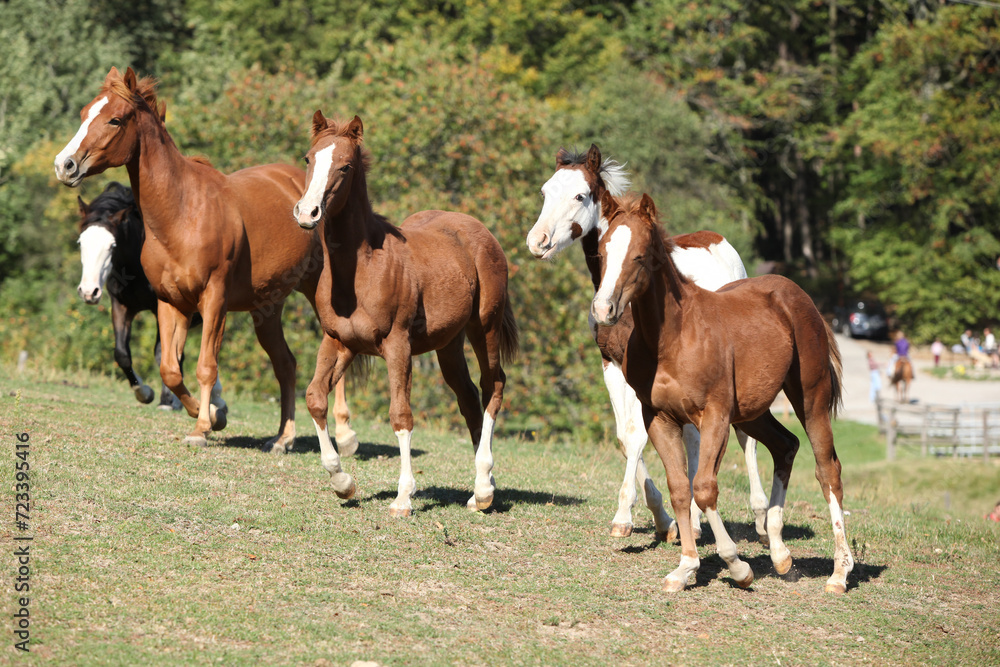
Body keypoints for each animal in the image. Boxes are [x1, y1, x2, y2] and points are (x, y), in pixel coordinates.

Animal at [54, 68, 358, 454]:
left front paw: (203, 426)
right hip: (267, 309)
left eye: (115, 119)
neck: (182, 213)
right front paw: (211, 413)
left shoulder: (214, 301)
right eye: (84, 113)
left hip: (321, 295)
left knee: (338, 355)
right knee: (285, 364)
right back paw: (283, 438)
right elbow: (170, 368)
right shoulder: (170, 303)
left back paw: (346, 436)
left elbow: (205, 366)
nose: (65, 165)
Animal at [292, 113, 520, 516]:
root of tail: (481, 231)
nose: (307, 213)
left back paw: (483, 489)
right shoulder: (339, 341)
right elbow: (315, 397)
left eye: (345, 165)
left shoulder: (397, 345)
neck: (362, 270)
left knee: (493, 385)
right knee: (468, 398)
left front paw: (403, 497)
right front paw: (342, 483)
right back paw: (483, 489)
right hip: (448, 344)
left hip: (485, 327)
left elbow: (401, 414)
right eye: (308, 158)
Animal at [528, 142, 776, 552]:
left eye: (580, 195)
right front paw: (664, 520)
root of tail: (718, 239)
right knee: (694, 438)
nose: (538, 242)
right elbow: (627, 436)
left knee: (746, 439)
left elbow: (637, 436)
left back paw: (759, 518)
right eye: (546, 191)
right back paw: (695, 520)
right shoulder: (612, 365)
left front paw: (624, 519)